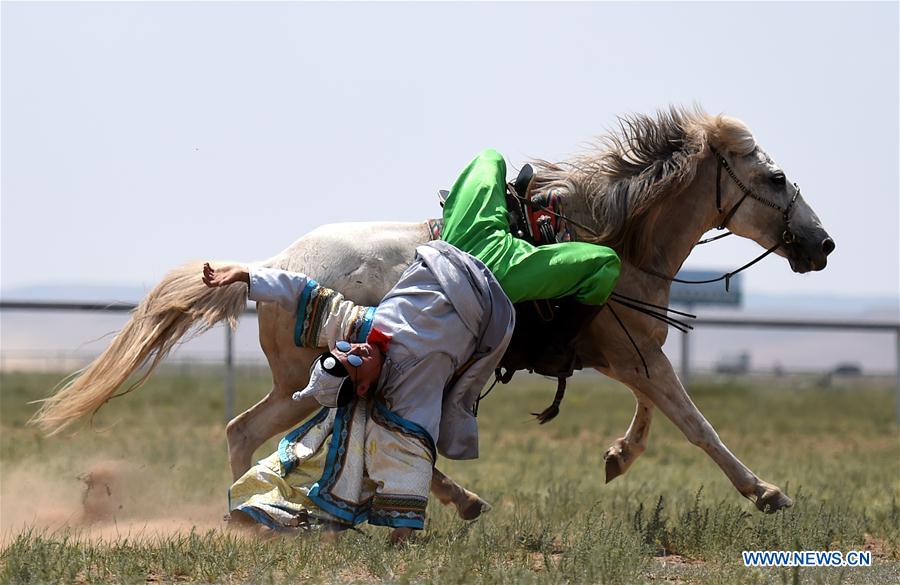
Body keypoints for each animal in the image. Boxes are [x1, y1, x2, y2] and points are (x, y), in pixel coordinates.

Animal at [35, 106, 836, 516]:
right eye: (774, 177)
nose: (822, 244)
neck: (614, 233)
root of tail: (272, 267)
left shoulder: (626, 353)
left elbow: (658, 409)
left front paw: (617, 456)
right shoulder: (628, 352)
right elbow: (693, 419)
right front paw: (765, 491)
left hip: (301, 377)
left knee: (249, 427)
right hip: (323, 370)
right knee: (260, 428)